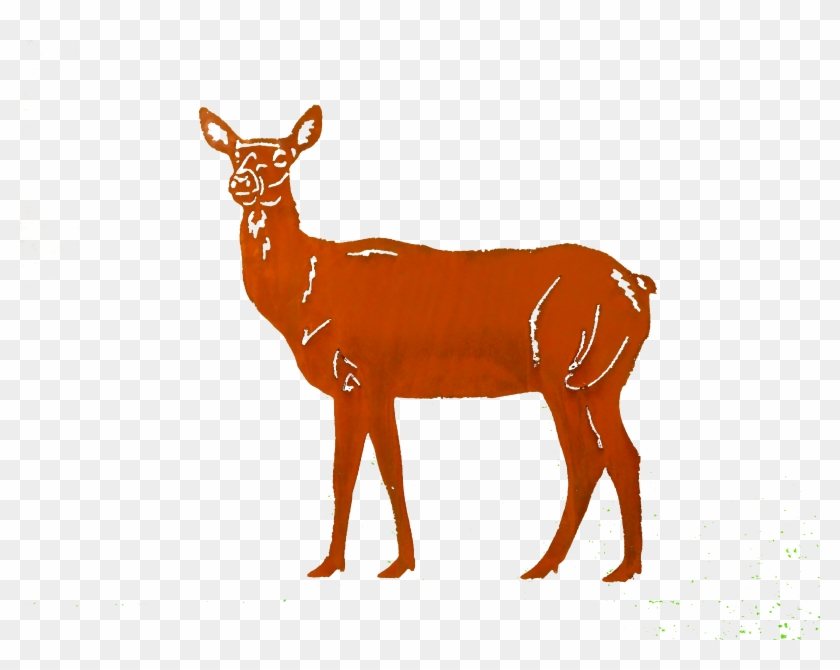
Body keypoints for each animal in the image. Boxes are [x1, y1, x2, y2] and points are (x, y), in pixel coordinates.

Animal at [199, 105, 657, 582]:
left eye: (282, 158)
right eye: (235, 154)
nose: (242, 183)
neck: (307, 294)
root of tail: (640, 286)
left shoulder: (368, 372)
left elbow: (374, 468)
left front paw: (388, 563)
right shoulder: (361, 386)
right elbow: (359, 469)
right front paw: (346, 563)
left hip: (560, 371)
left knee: (586, 457)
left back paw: (544, 565)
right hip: (603, 379)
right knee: (624, 454)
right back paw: (625, 567)